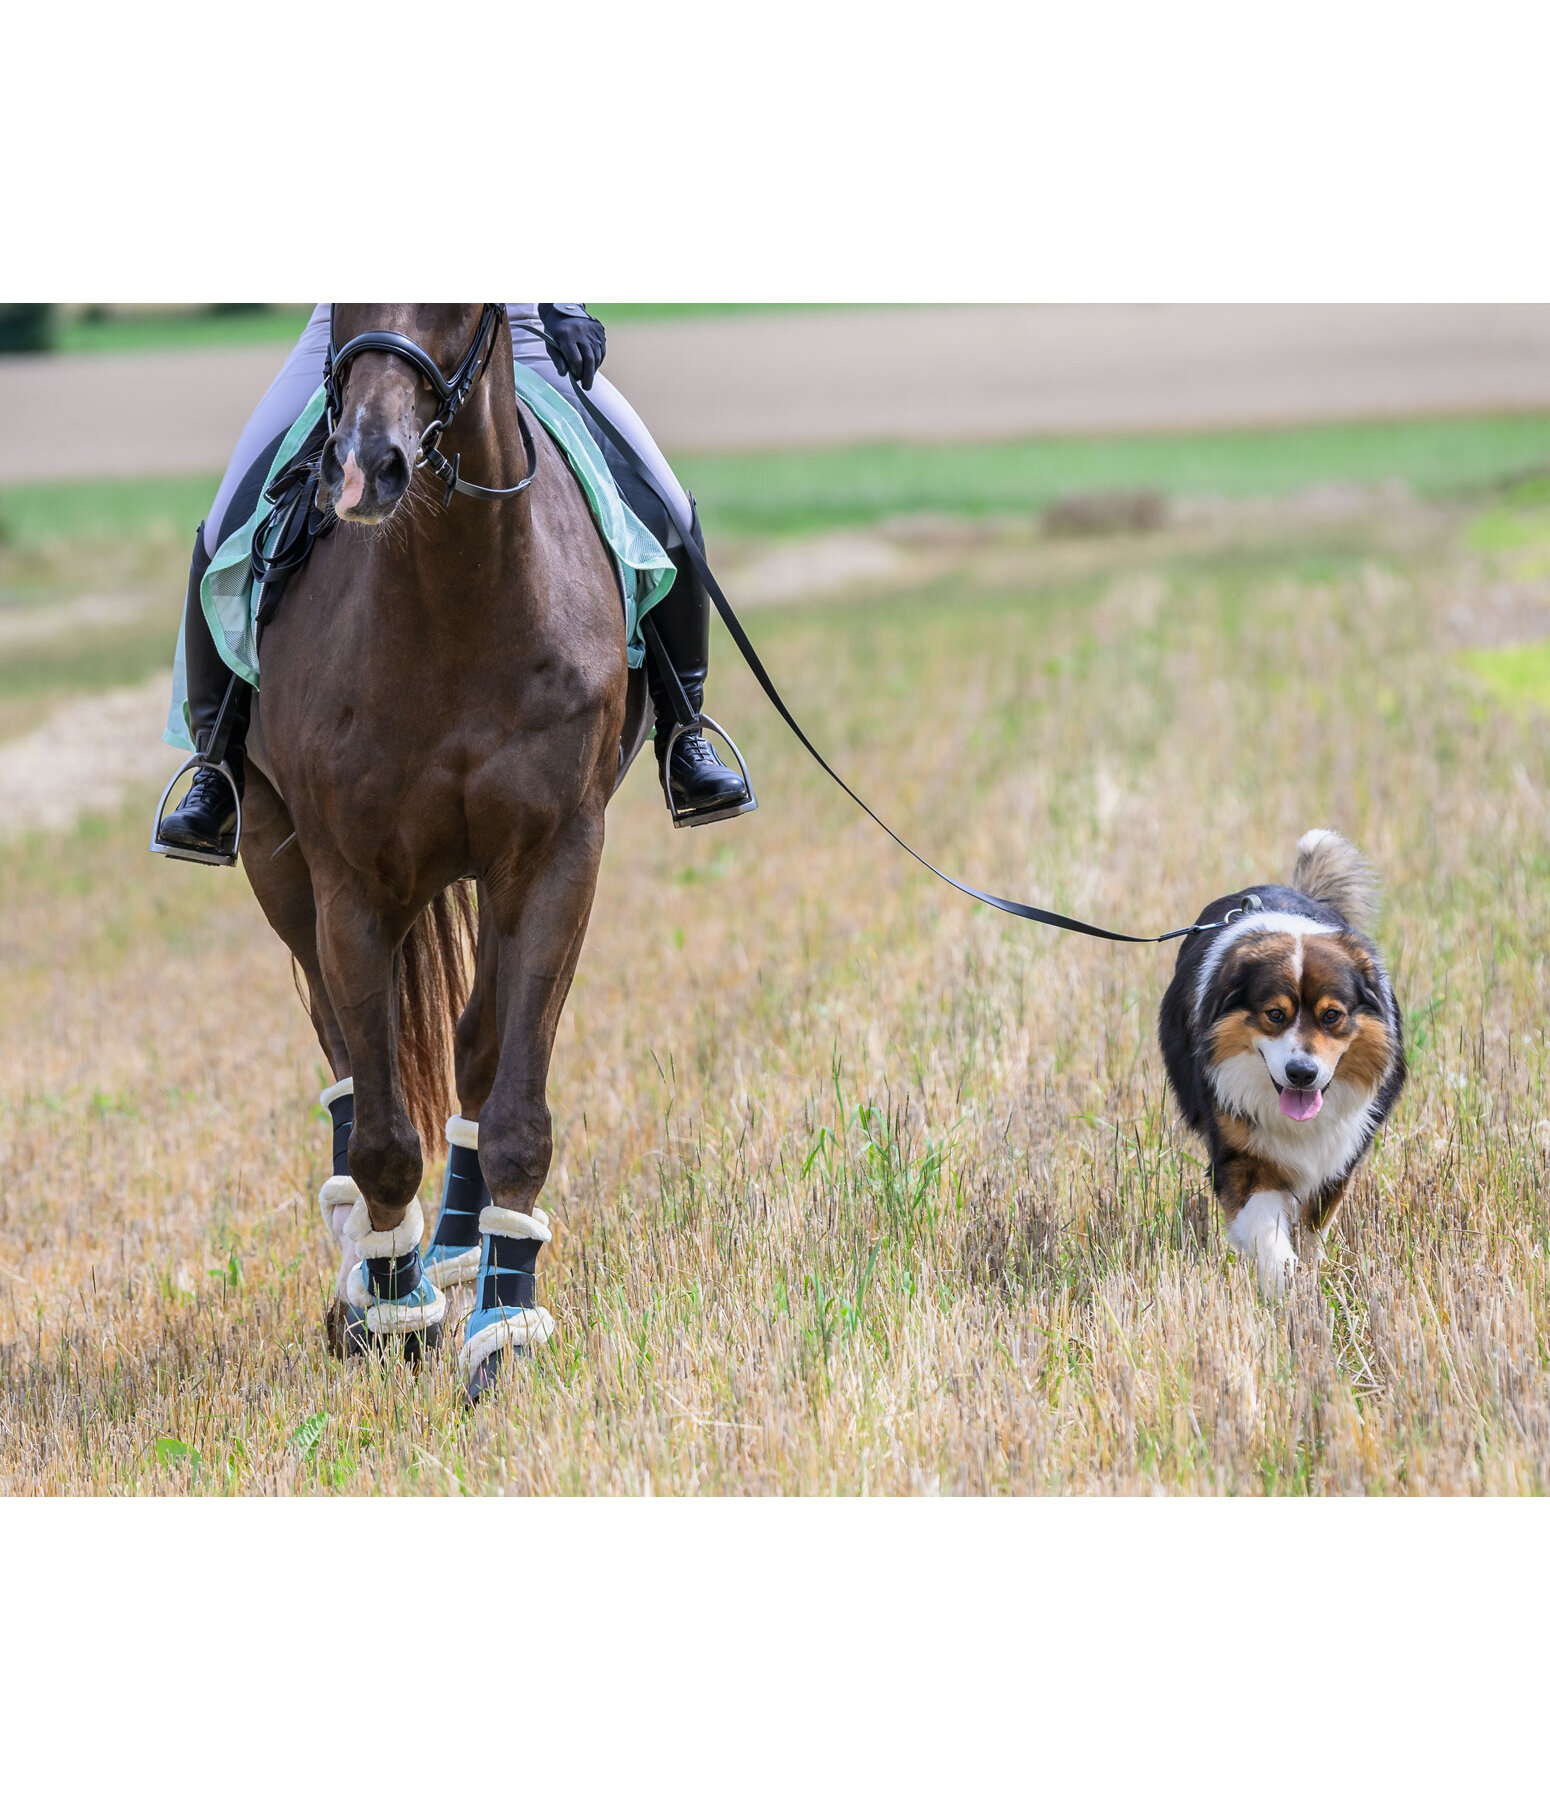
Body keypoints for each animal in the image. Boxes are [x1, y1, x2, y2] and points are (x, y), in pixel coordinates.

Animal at [235, 302, 648, 1396]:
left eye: (463, 308)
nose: (363, 469)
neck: (456, 593)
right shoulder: (348, 885)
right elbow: (381, 1134)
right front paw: (394, 1311)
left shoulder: (555, 860)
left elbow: (515, 1109)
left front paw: (503, 1331)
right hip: (277, 867)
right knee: (348, 1067)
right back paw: (373, 1273)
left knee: (474, 1047)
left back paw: (460, 1249)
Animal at [1152, 828, 1411, 1296]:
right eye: (1275, 1014)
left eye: (1332, 1015)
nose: (1302, 1074)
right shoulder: (1240, 1153)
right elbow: (1264, 1226)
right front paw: (1284, 1282)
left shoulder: (1339, 1154)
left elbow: (1313, 1225)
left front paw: (1308, 1274)